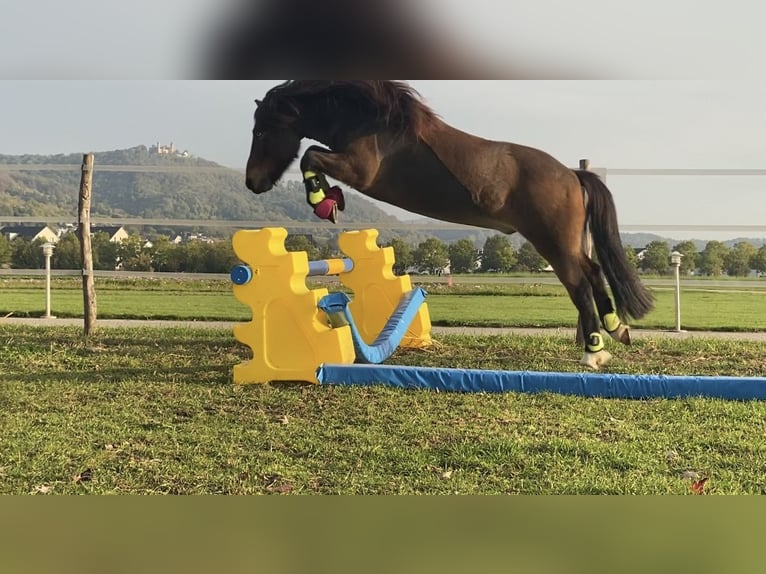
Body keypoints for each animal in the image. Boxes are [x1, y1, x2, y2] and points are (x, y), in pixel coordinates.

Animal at [244, 80, 654, 369]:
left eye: (260, 132)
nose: (252, 182)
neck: (368, 121)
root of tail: (571, 175)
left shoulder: (360, 170)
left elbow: (311, 156)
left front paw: (323, 202)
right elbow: (312, 157)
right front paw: (330, 201)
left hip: (553, 244)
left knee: (581, 286)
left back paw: (593, 353)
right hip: (565, 244)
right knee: (595, 273)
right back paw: (617, 329)